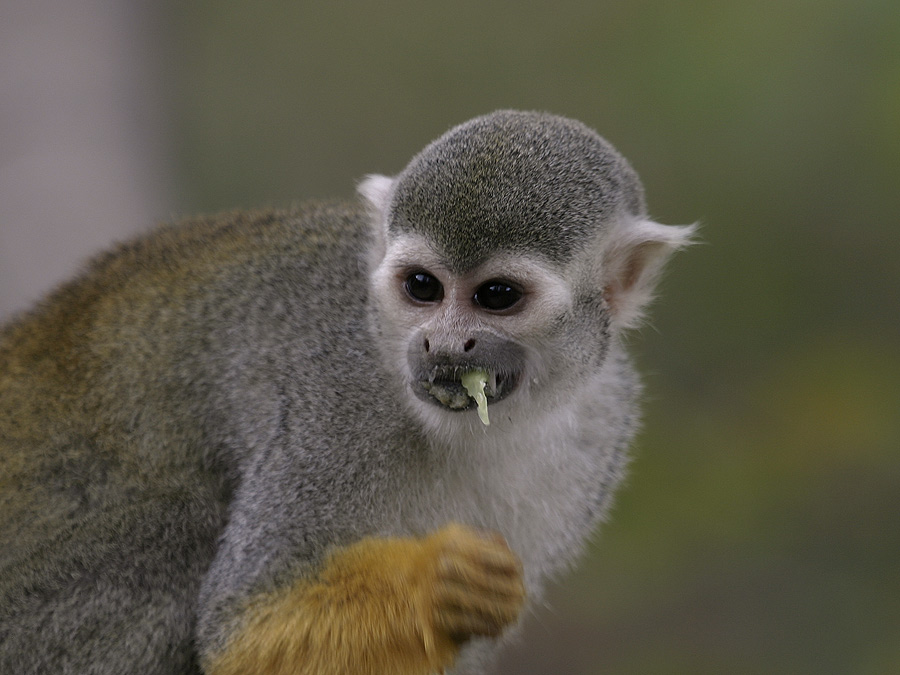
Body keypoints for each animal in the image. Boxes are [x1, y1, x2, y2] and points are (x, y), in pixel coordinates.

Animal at [0, 112, 696, 675]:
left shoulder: (603, 420)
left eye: (497, 296)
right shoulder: (337, 391)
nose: (444, 345)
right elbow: (248, 629)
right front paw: (436, 587)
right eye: (423, 287)